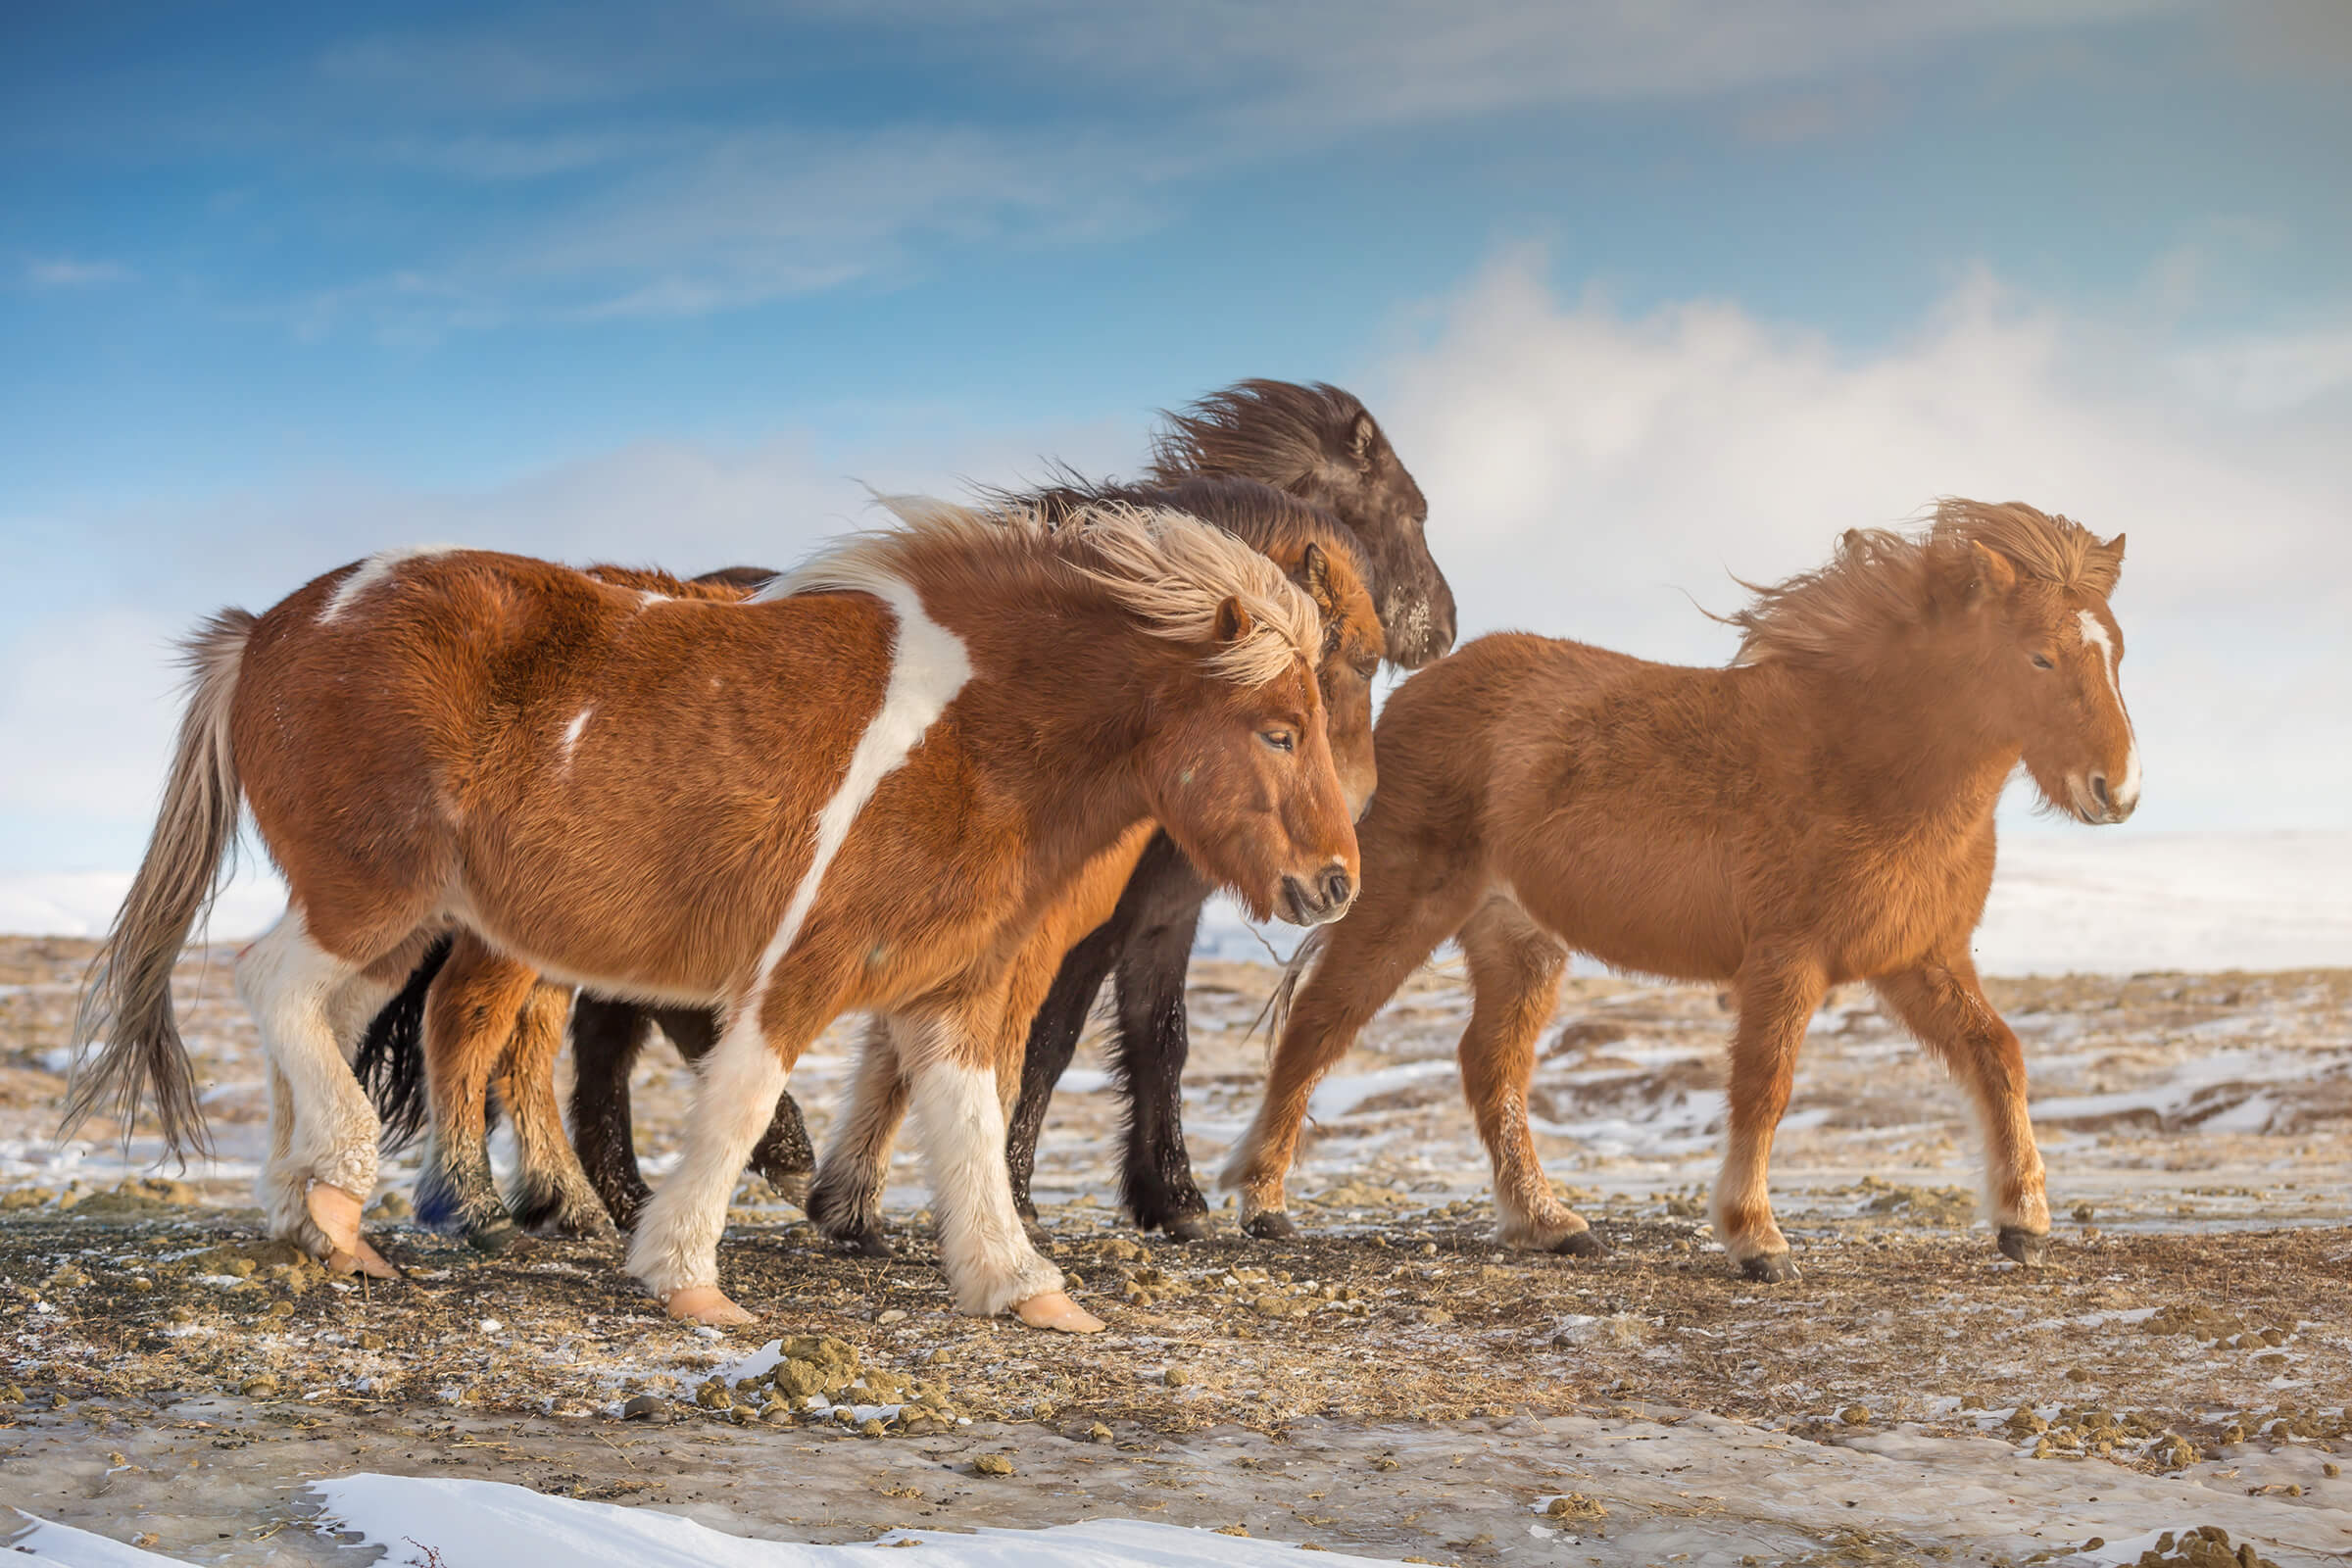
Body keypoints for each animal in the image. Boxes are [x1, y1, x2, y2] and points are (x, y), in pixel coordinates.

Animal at [66, 495, 1360, 1331]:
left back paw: (314, 1219)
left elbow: (969, 1124)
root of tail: (269, 628)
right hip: (373, 886)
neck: (977, 731)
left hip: (402, 919)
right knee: (274, 984)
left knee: (327, 1018)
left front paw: (1020, 1284)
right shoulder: (805, 964)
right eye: (1277, 730)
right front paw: (687, 1275)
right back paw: (338, 1188)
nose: (1335, 883)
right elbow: (742, 1106)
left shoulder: (949, 985)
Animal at [1219, 500, 2138, 1281]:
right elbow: (1765, 1087)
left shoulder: (1919, 961)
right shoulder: (1787, 962)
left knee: (1490, 1066)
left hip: (1518, 939)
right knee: (1322, 1025)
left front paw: (2025, 1222)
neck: (1866, 758)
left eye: (2117, 651)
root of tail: (1411, 697)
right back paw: (1263, 1201)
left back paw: (1548, 1223)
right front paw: (1756, 1238)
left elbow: (1999, 1056)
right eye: (2040, 655)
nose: (2117, 793)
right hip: (1403, 905)